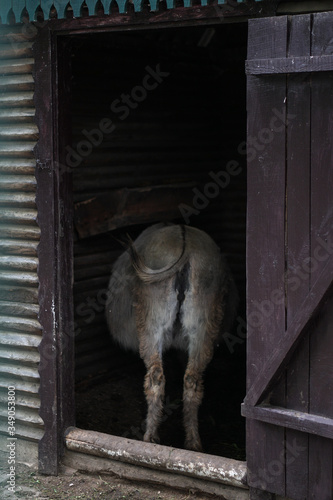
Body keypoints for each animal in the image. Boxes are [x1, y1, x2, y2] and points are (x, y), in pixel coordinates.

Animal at [105, 224, 237, 454]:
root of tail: (186, 246)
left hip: (150, 324)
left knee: (155, 377)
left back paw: (150, 437)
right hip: (202, 327)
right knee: (192, 380)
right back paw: (193, 443)